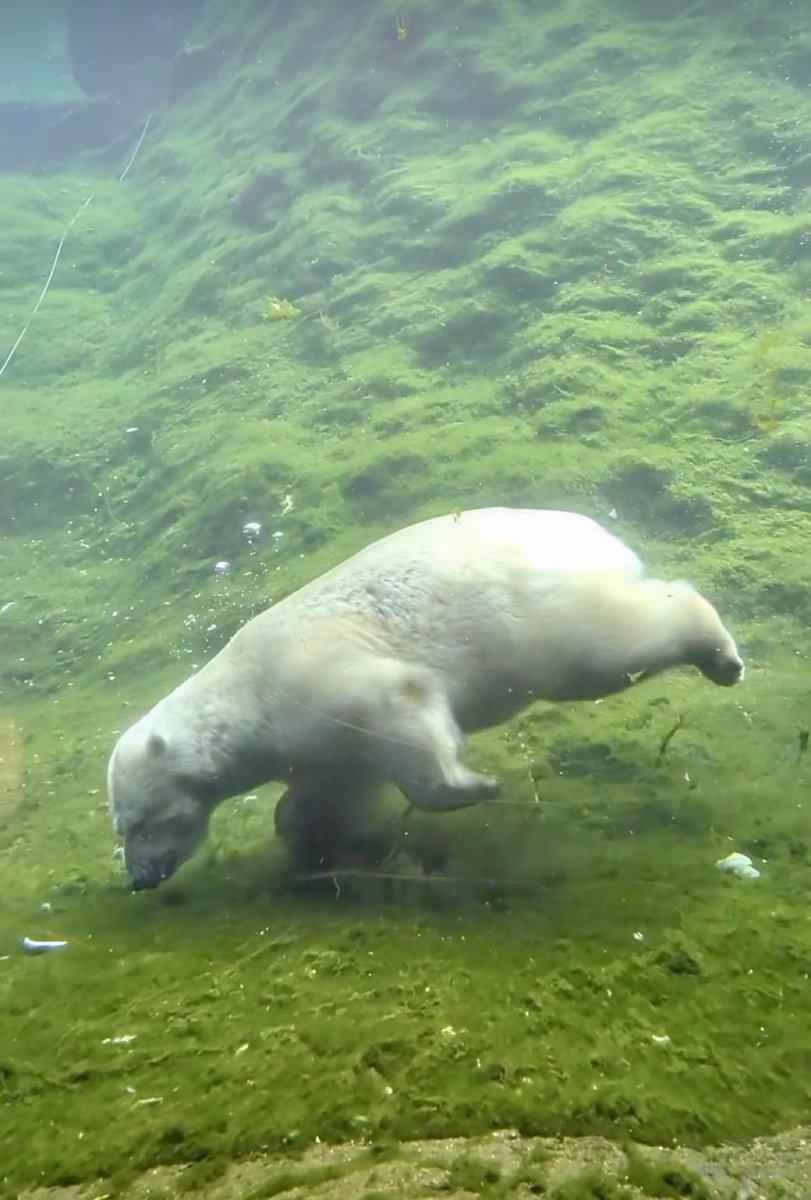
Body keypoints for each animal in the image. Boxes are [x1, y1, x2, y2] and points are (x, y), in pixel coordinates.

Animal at [107, 507, 744, 890]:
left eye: (137, 822)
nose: (139, 878)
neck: (245, 697)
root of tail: (599, 535)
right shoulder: (310, 741)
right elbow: (330, 783)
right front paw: (317, 840)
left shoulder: (319, 679)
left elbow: (403, 717)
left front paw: (478, 786)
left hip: (539, 613)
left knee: (610, 646)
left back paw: (720, 655)